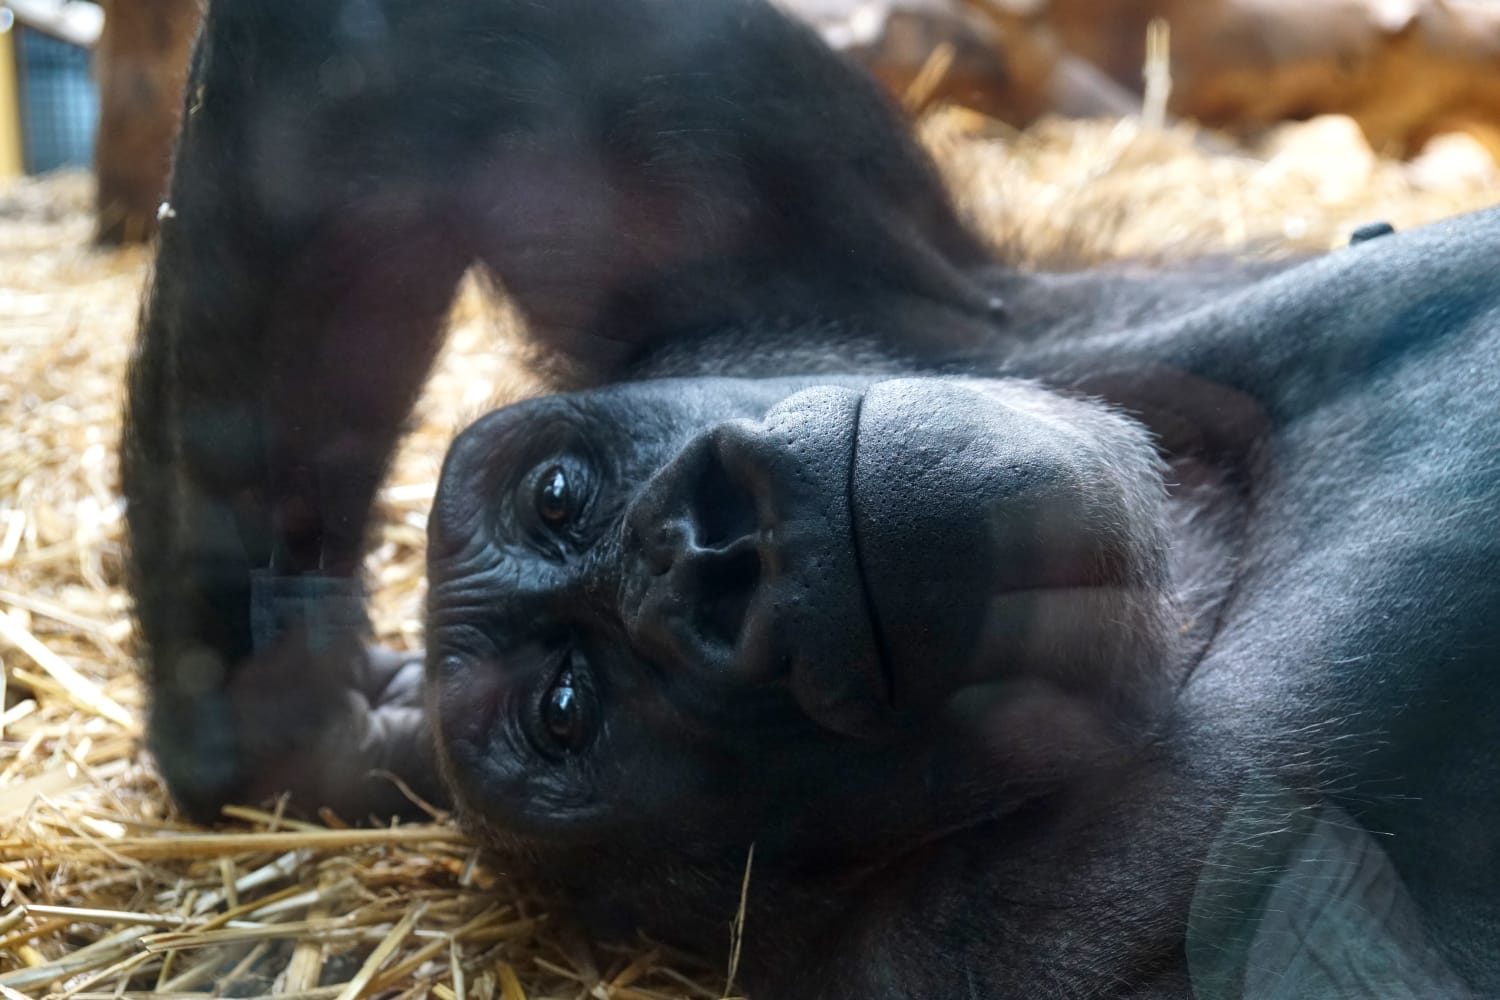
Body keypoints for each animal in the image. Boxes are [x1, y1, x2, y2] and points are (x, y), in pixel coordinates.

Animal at [126, 0, 1500, 995]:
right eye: (569, 707)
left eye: (557, 495)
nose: (706, 553)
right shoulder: (1020, 940)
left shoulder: (771, 281)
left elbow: (393, 64)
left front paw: (307, 698)